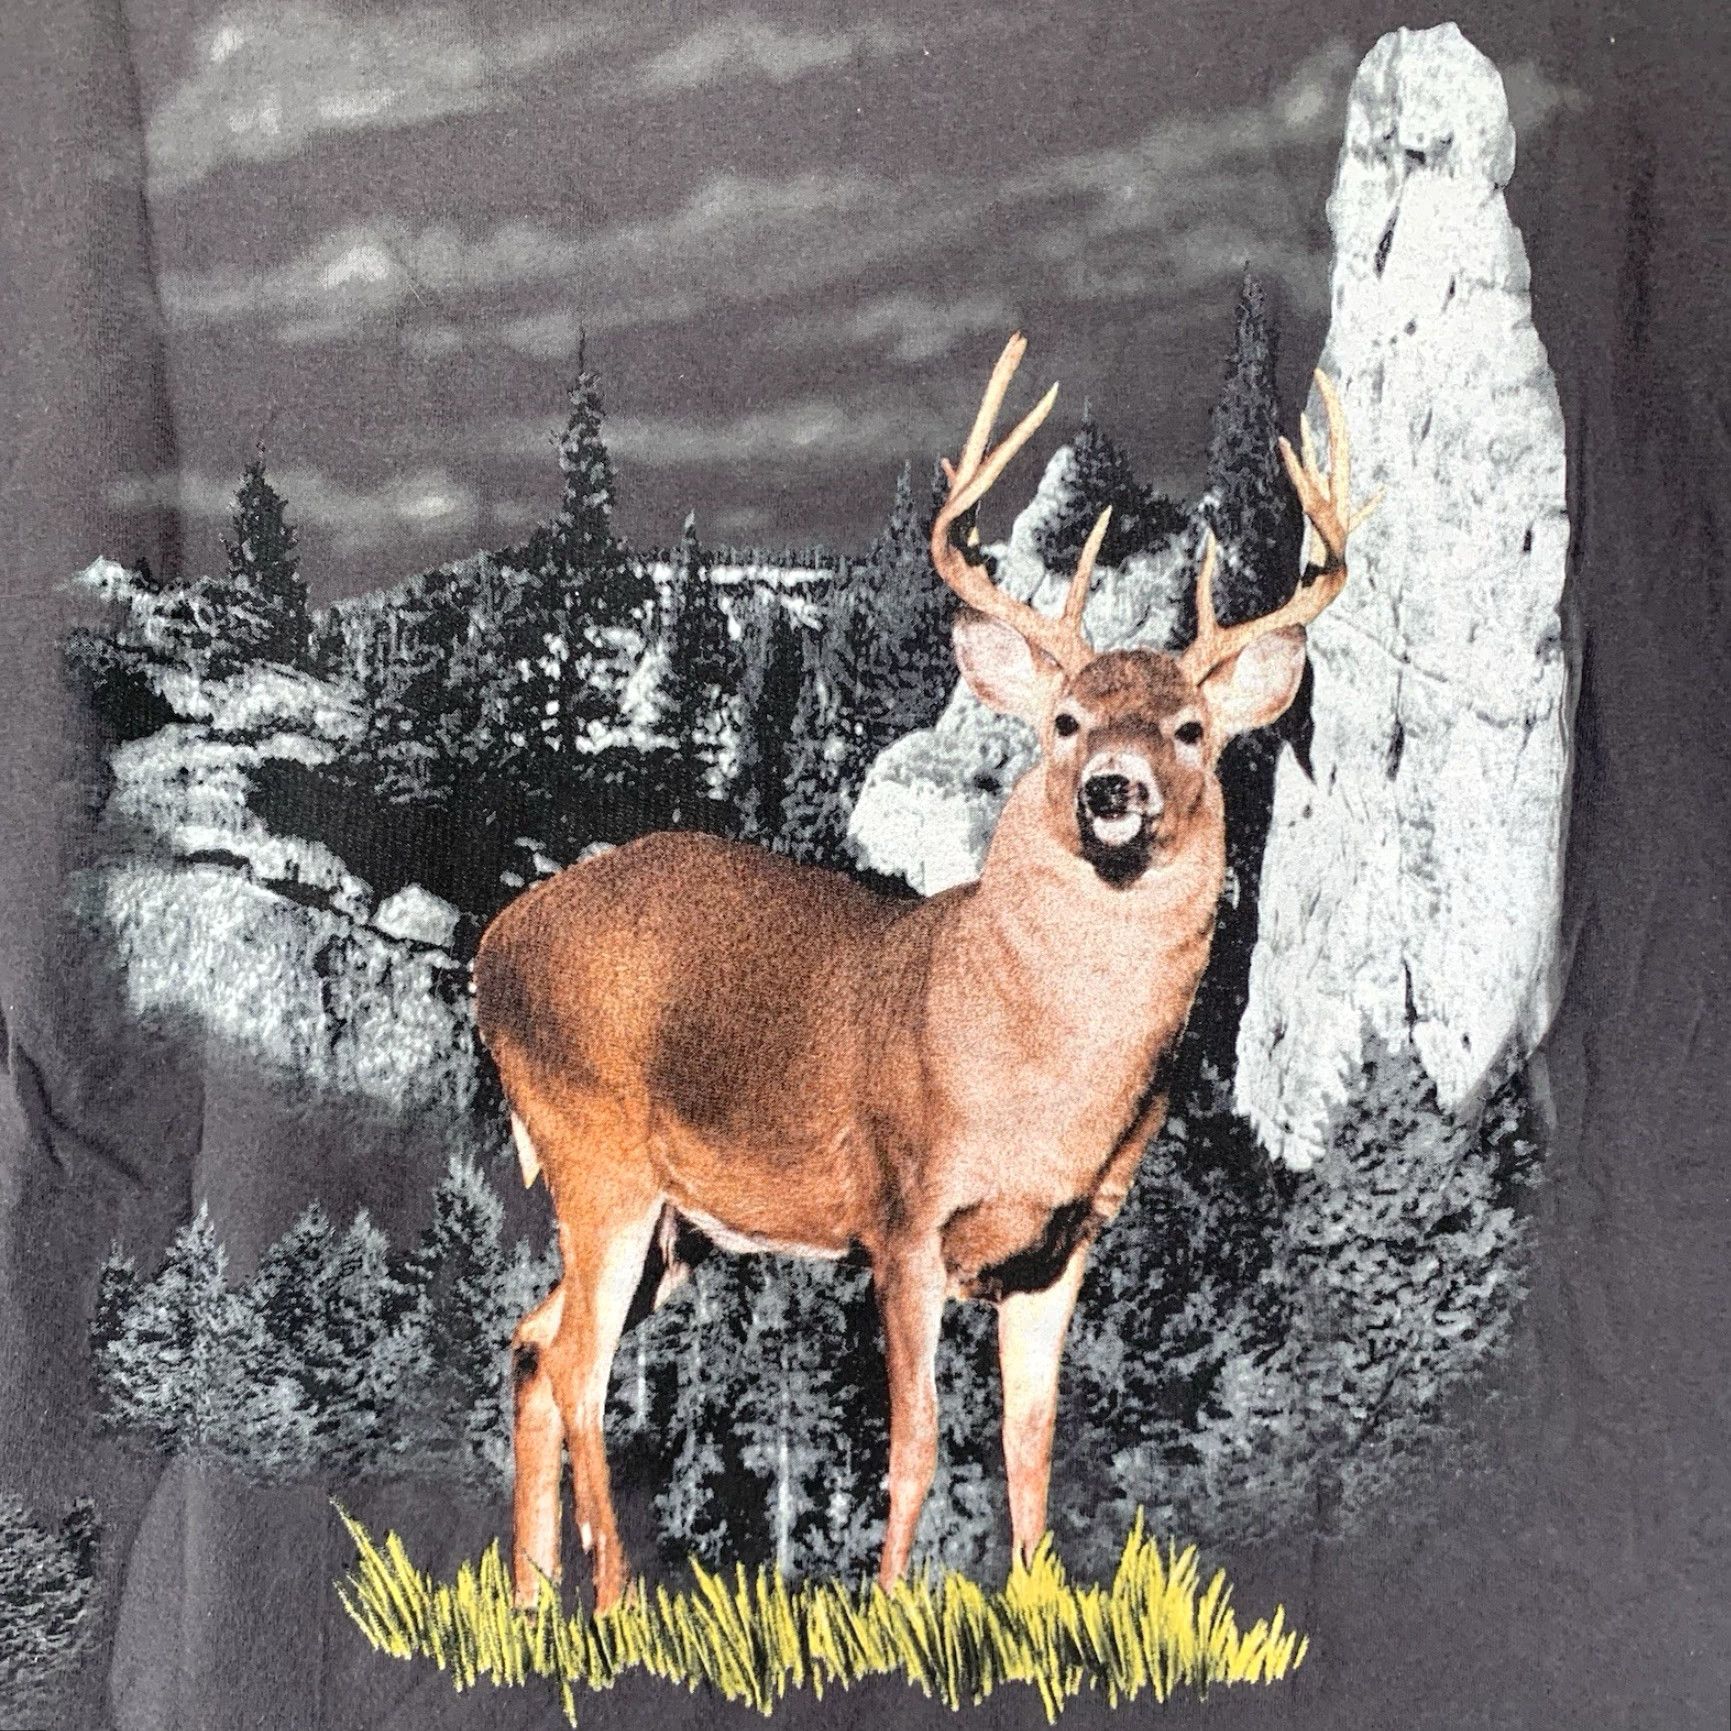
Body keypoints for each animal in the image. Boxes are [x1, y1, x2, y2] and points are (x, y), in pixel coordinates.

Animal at [473, 334, 1372, 1612]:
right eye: (1064, 720)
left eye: (1191, 730)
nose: (1115, 790)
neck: (1035, 1074)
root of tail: (493, 946)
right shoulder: (903, 1214)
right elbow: (916, 1442)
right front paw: (892, 1612)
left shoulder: (1064, 1244)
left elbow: (1029, 1445)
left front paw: (1035, 1607)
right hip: (597, 1156)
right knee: (582, 1372)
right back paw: (615, 1603)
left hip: (677, 1222)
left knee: (532, 1347)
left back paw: (529, 1599)